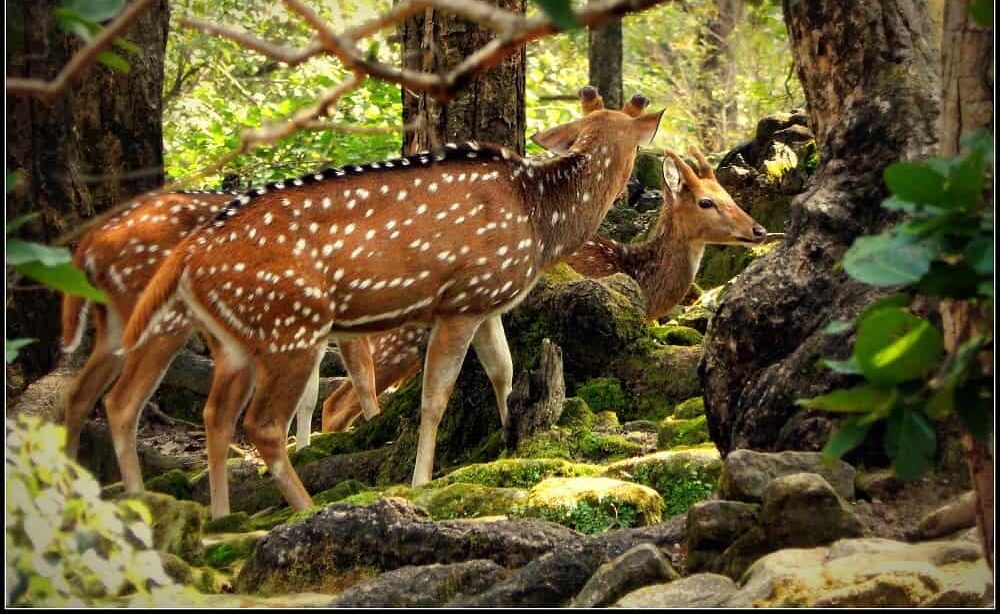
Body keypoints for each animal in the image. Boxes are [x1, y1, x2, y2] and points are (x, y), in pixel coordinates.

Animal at [60, 190, 383, 495]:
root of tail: (93, 242)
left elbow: (311, 395)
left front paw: (305, 447)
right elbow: (362, 379)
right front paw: (370, 425)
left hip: (115, 323)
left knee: (78, 393)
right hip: (158, 318)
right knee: (118, 401)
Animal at [115, 86, 664, 518]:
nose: (641, 188)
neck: (539, 218)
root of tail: (187, 256)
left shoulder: (486, 301)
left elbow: (503, 371)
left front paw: (513, 443)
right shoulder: (461, 300)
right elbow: (434, 397)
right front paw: (422, 480)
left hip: (234, 338)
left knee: (210, 415)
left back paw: (218, 514)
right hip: (291, 324)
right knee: (262, 424)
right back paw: (305, 507)